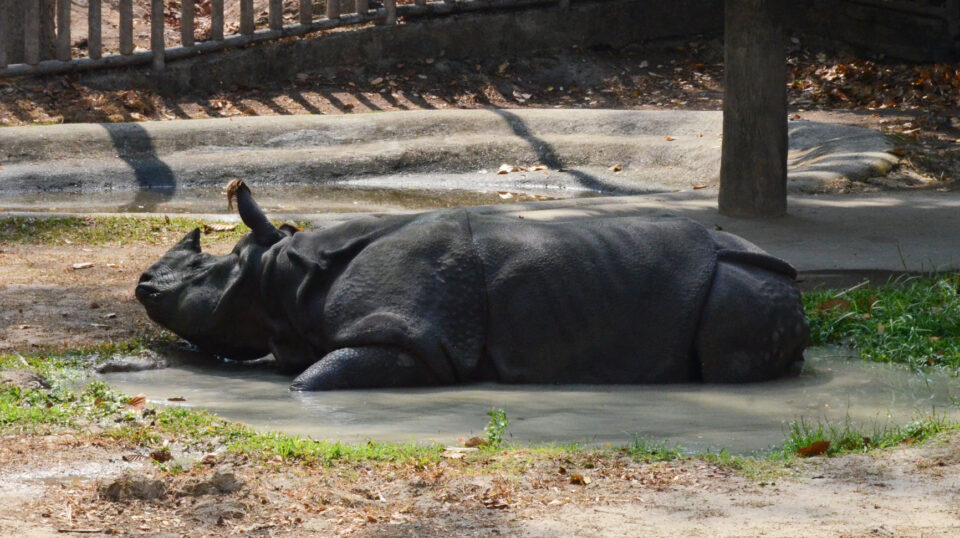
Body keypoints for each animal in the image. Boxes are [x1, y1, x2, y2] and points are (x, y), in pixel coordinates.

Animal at [136, 180, 808, 391]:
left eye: (205, 274)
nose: (143, 285)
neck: (285, 275)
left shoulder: (414, 339)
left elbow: (311, 379)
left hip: (740, 287)